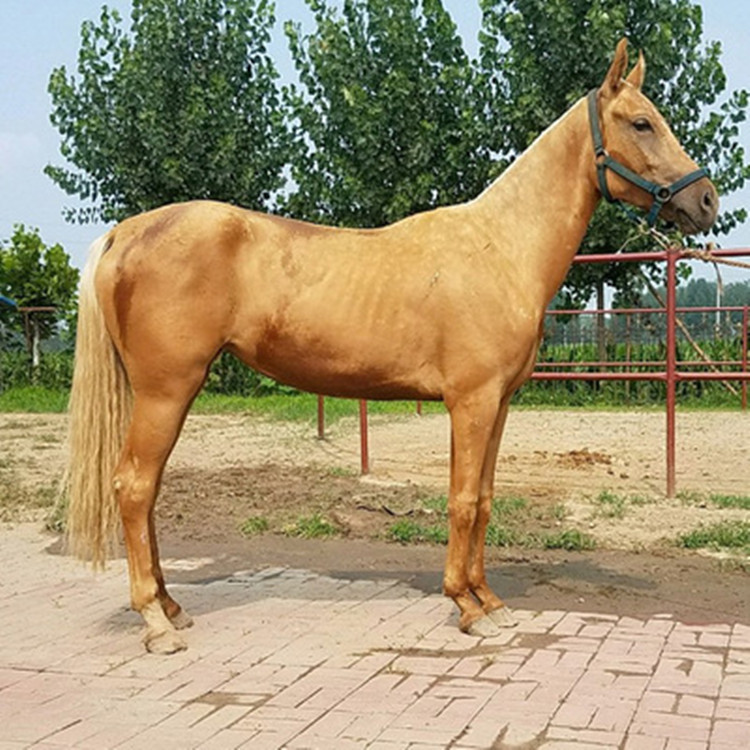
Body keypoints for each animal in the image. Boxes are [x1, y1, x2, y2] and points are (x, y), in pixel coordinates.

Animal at [65, 39, 717, 654]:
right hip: (167, 390)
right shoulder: (472, 402)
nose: (706, 201)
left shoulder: (498, 404)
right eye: (641, 123)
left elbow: (484, 498)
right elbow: (462, 500)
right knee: (134, 487)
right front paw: (467, 607)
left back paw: (171, 606)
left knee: (147, 492)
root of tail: (127, 231)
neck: (500, 248)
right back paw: (156, 622)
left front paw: (488, 598)